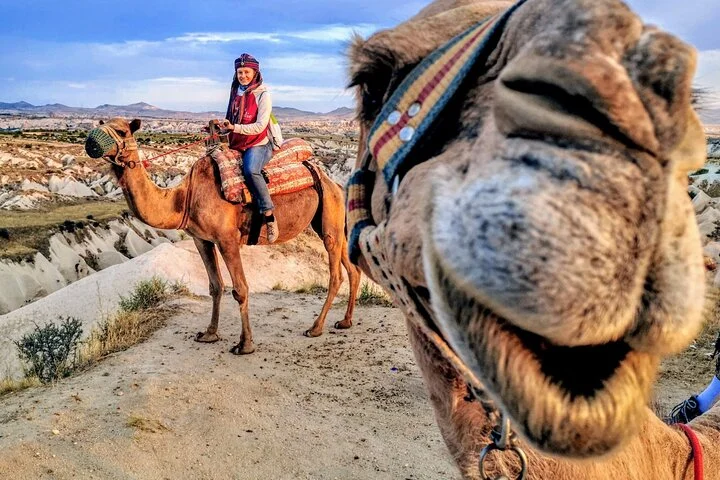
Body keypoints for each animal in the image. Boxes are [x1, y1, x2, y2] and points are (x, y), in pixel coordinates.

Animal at [85, 118, 361, 354]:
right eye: (100, 124)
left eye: (122, 131)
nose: (91, 141)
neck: (184, 197)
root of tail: (336, 183)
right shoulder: (202, 239)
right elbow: (215, 286)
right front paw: (209, 334)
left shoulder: (227, 240)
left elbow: (240, 289)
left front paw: (245, 344)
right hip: (331, 221)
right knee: (352, 268)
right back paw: (345, 321)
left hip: (330, 217)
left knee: (336, 274)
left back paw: (315, 328)